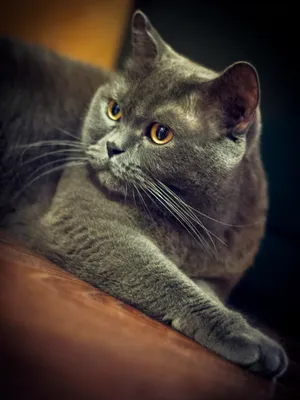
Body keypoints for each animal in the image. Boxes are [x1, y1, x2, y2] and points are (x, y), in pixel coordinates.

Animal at [0, 10, 288, 378]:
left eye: (160, 133)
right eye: (114, 110)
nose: (112, 146)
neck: (195, 222)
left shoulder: (216, 275)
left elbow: (201, 288)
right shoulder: (87, 222)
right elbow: (164, 277)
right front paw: (248, 338)